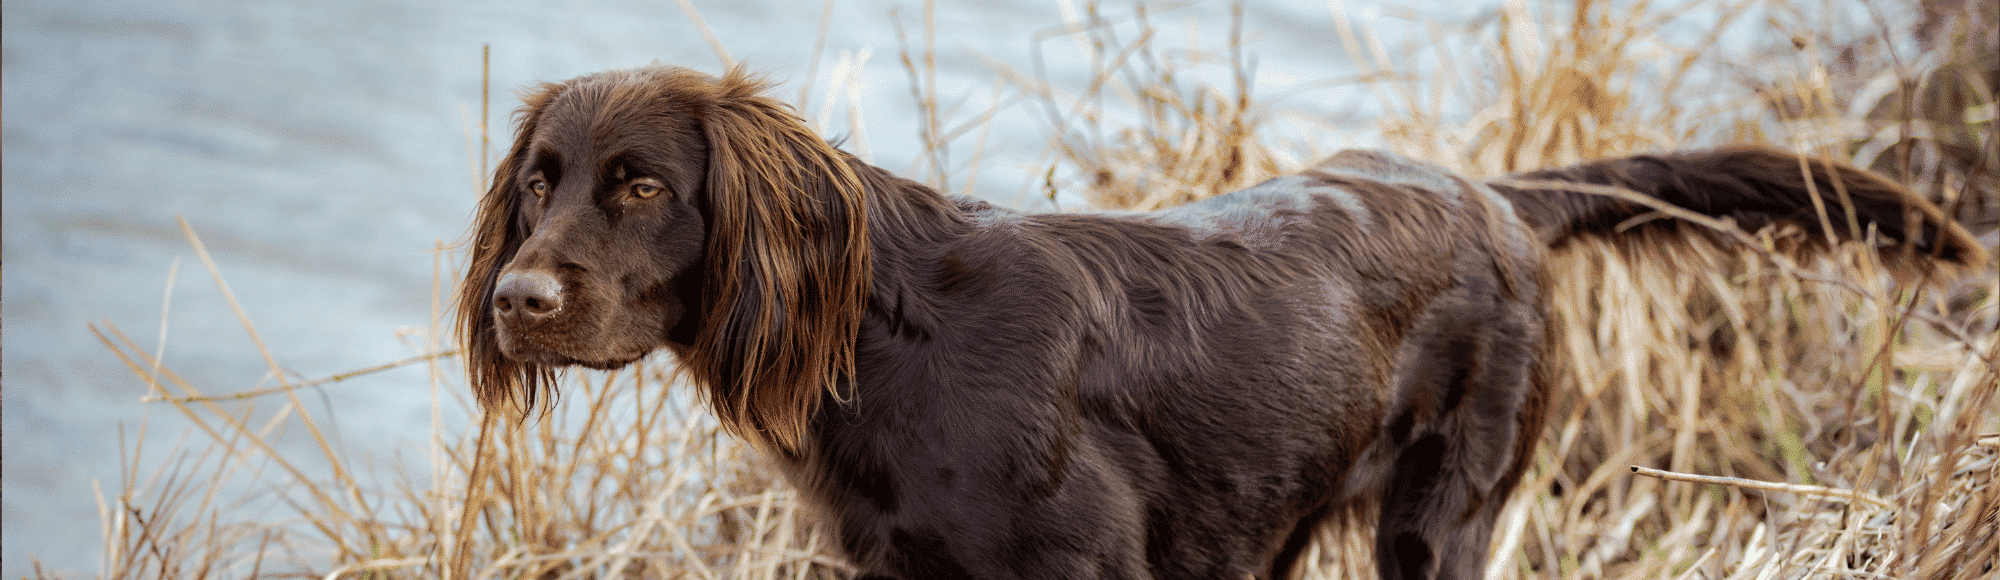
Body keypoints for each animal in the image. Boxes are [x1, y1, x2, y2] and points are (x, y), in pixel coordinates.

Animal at [458, 65, 1984, 576]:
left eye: (643, 186)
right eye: (538, 183)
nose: (518, 300)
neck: (894, 343)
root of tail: (1489, 193)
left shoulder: (1089, 564)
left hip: (1443, 512)